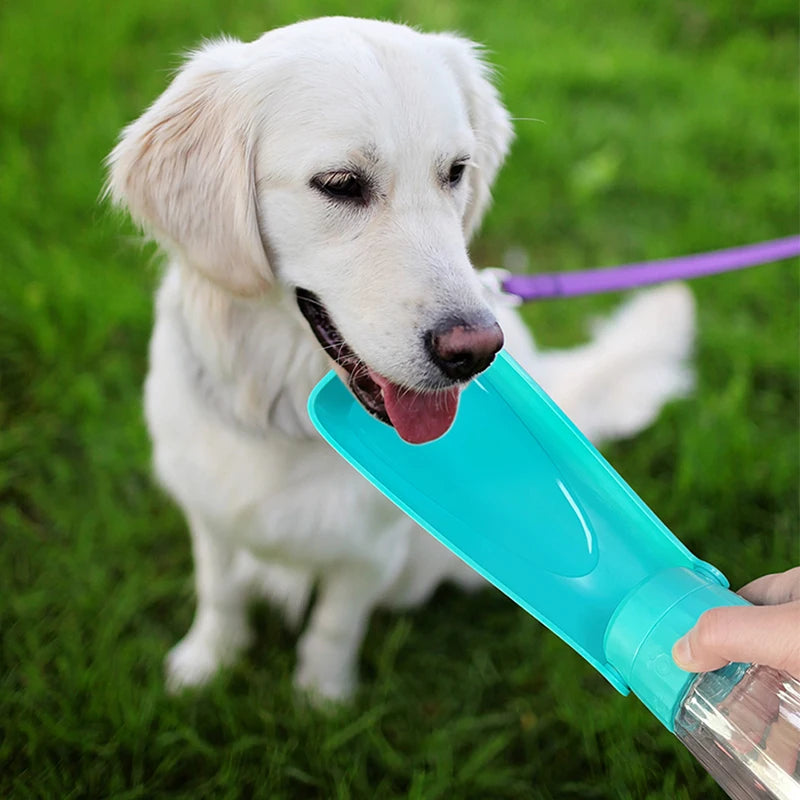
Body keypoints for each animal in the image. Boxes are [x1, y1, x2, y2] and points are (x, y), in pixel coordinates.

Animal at [106, 14, 692, 700]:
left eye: (456, 171)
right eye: (340, 185)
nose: (476, 352)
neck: (283, 413)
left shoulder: (372, 551)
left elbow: (334, 623)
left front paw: (322, 698)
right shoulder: (209, 514)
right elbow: (219, 591)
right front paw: (207, 663)